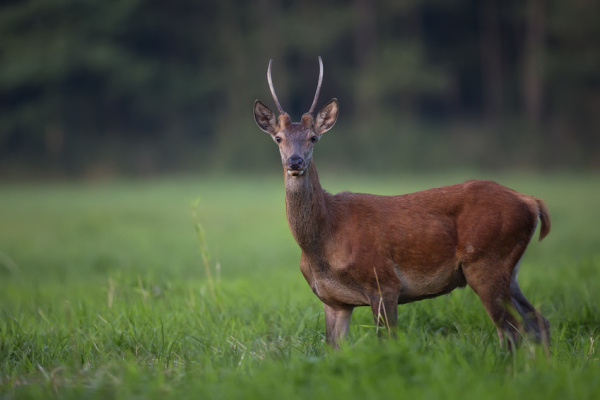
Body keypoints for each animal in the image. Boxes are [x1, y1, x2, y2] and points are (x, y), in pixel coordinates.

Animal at [251, 57, 552, 350]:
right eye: (278, 138)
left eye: (313, 138)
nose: (295, 162)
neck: (325, 240)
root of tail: (531, 202)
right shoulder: (333, 301)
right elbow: (331, 349)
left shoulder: (383, 282)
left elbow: (388, 342)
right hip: (509, 269)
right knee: (538, 321)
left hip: (485, 261)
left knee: (511, 330)